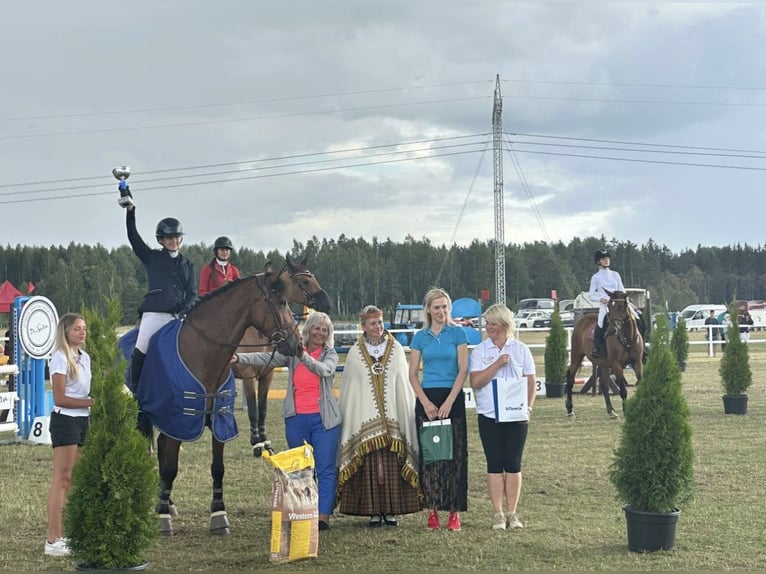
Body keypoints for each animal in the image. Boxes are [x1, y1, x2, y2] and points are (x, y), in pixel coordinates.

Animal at [136, 268, 304, 536]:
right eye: (281, 302)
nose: (298, 344)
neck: (203, 354)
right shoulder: (179, 421)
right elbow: (171, 467)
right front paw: (163, 518)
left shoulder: (219, 421)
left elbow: (217, 467)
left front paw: (218, 514)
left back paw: (168, 502)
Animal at [232, 256, 332, 460]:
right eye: (305, 281)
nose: (327, 303)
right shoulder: (248, 376)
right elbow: (253, 410)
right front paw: (256, 444)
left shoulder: (267, 375)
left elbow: (262, 409)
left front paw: (265, 443)